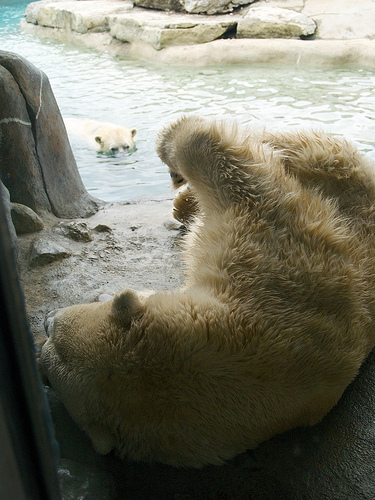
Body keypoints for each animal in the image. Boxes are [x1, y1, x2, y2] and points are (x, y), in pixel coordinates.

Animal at [39, 115, 375, 466]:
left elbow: (233, 170)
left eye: (53, 329)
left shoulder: (274, 253)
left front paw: (172, 142)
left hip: (338, 167)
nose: (46, 318)